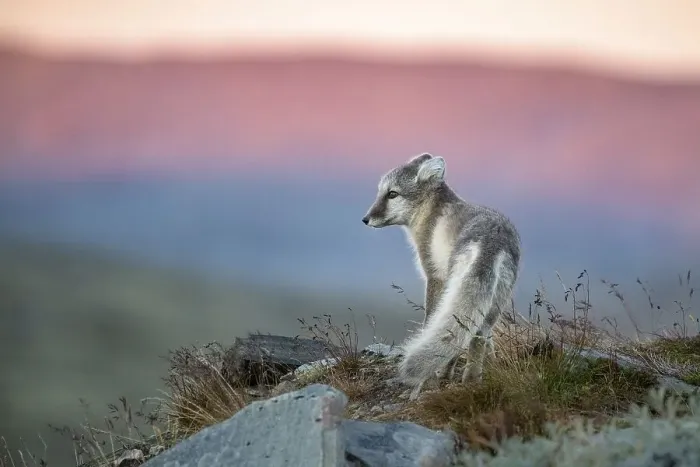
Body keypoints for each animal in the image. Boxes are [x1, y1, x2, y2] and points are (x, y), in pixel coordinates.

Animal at [361, 153, 521, 399]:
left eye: (392, 194)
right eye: (381, 192)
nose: (366, 219)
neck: (430, 212)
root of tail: (492, 241)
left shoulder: (434, 276)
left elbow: (429, 319)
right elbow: (489, 341)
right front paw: (494, 364)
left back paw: (444, 374)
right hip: (496, 300)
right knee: (479, 334)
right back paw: (472, 381)